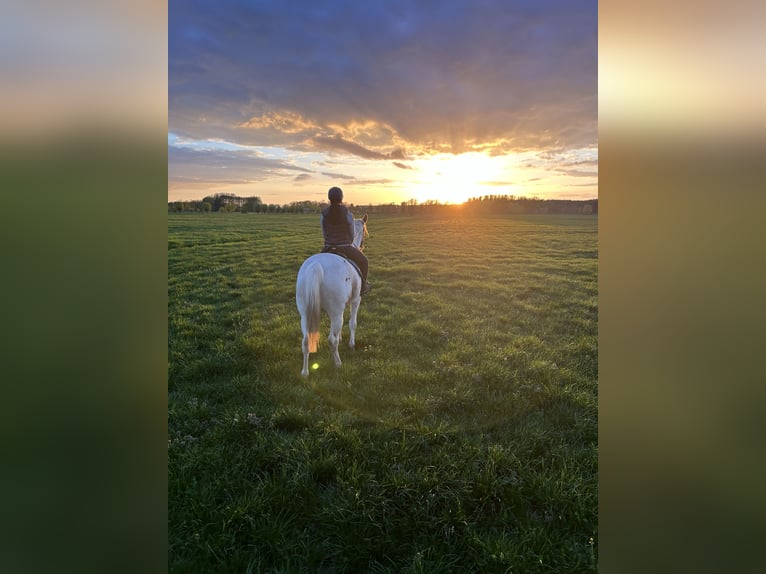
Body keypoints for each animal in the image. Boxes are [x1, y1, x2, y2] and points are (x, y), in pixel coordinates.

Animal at [296, 215, 368, 378]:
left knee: (305, 341)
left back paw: (304, 373)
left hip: (305, 313)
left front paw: (341, 337)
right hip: (336, 311)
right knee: (331, 340)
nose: (362, 246)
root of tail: (316, 266)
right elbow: (352, 323)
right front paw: (351, 344)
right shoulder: (356, 300)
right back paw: (338, 364)